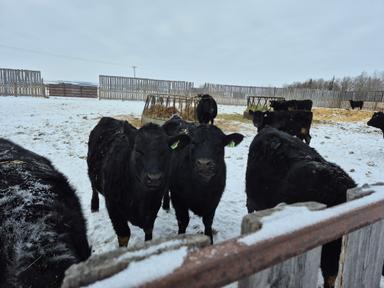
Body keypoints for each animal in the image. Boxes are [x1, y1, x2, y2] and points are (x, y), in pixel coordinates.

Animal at [86, 117, 189, 248]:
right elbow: (124, 235)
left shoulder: (153, 205)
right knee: (93, 187)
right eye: (138, 151)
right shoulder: (113, 207)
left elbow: (148, 229)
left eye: (165, 151)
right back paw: (94, 206)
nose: (154, 178)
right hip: (91, 172)